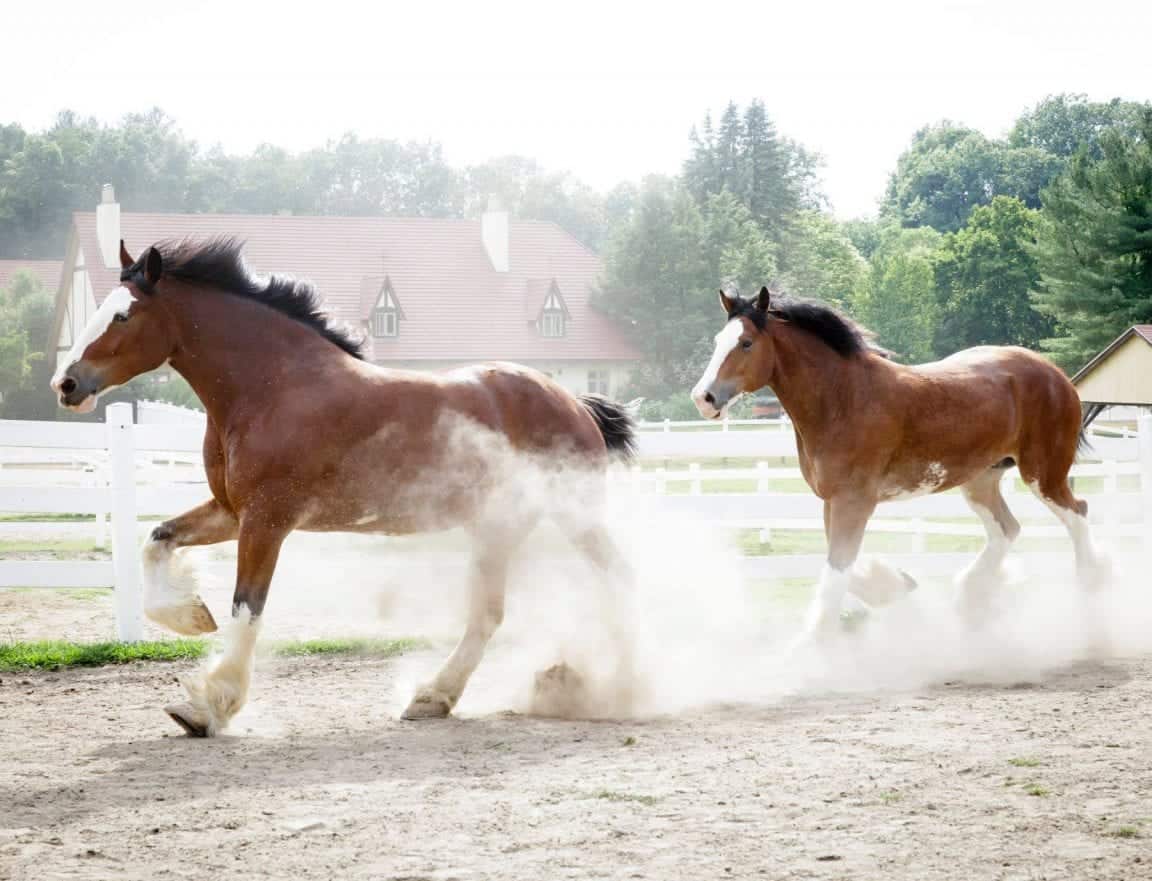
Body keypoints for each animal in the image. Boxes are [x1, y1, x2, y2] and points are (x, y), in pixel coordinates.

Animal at [49, 238, 635, 737]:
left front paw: (209, 706)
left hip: (570, 516)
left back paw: (621, 685)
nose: (66, 384)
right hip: (500, 526)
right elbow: (158, 540)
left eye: (123, 314)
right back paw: (439, 697)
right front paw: (191, 616)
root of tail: (576, 403)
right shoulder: (230, 511)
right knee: (493, 613)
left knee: (613, 581)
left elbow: (247, 608)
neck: (273, 387)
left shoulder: (267, 520)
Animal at [686, 289, 1110, 644]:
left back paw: (1092, 592)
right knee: (1007, 529)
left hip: (1043, 474)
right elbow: (842, 566)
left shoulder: (855, 502)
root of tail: (1057, 376)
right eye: (717, 341)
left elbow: (835, 572)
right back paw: (969, 596)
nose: (703, 398)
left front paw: (813, 649)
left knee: (1077, 515)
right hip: (981, 480)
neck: (842, 399)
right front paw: (897, 585)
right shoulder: (832, 501)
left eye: (746, 343)